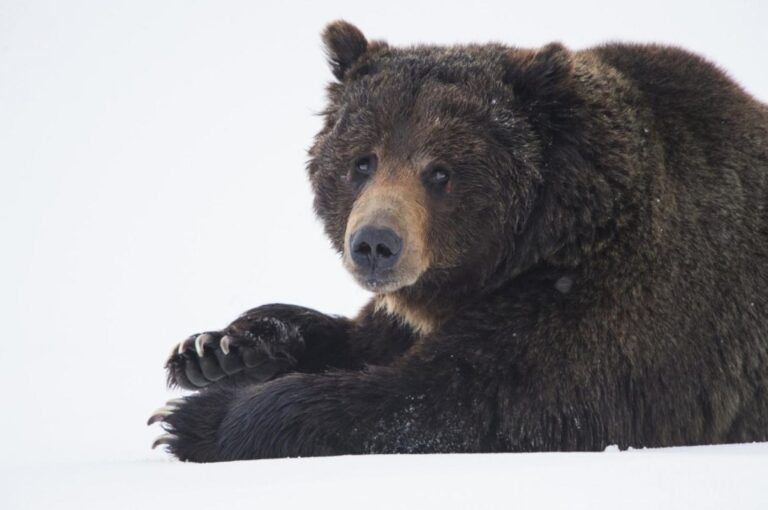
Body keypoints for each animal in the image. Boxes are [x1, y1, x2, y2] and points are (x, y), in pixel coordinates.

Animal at [148, 21, 768, 462]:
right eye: (362, 161)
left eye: (440, 171)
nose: (375, 244)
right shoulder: (422, 302)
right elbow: (359, 337)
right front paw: (217, 351)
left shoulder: (614, 303)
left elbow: (464, 401)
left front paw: (197, 420)